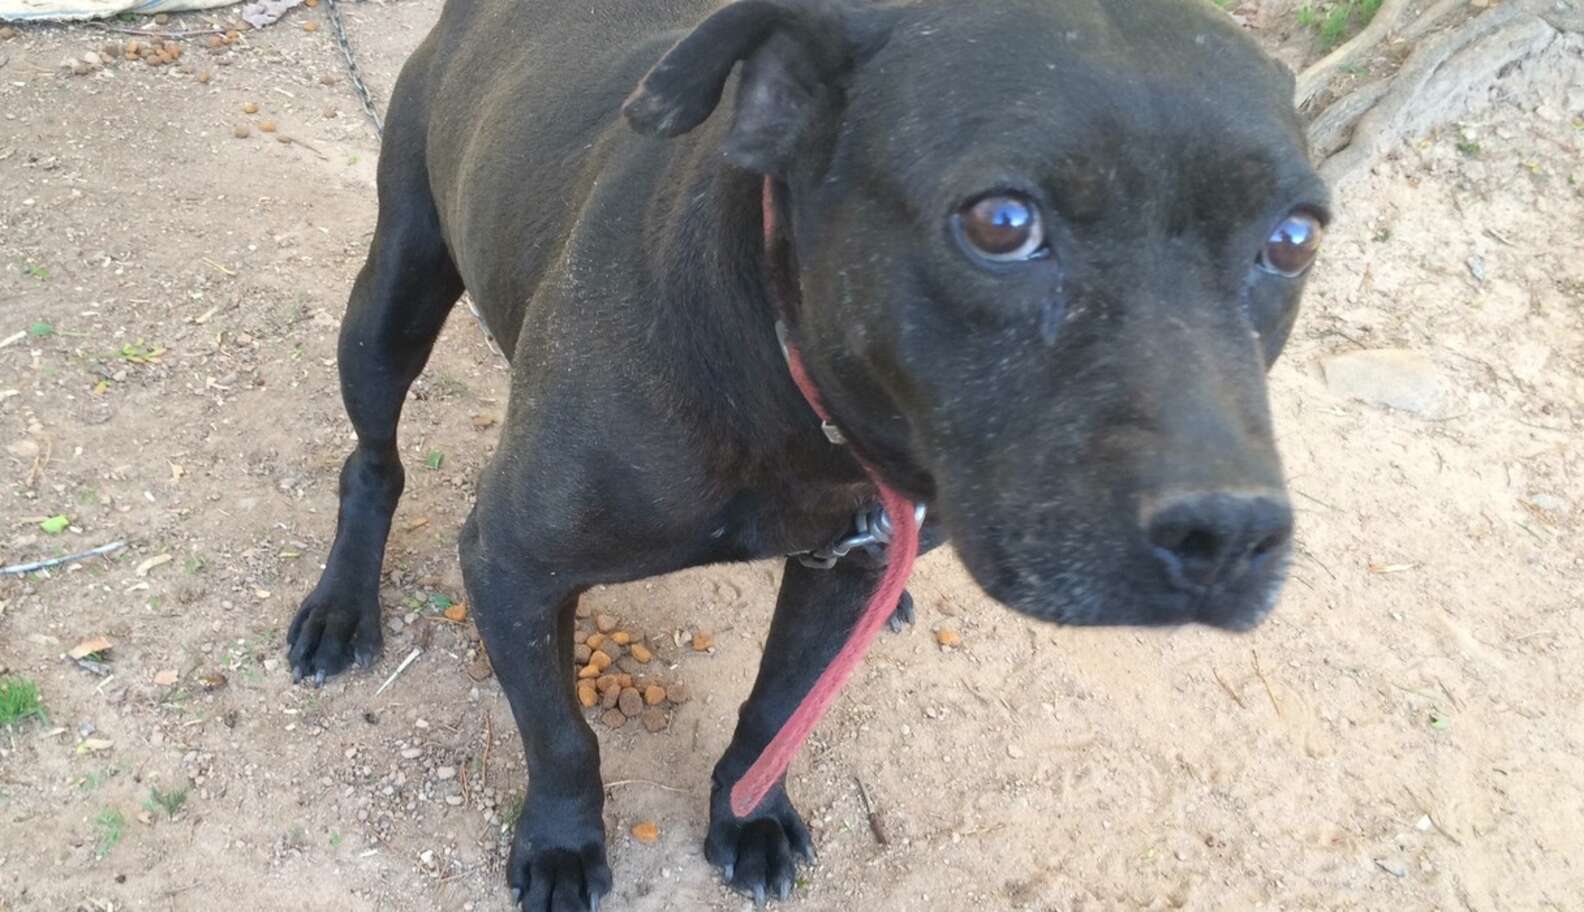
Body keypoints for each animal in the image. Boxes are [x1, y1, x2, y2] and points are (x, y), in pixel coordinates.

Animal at [288, 3, 1324, 905]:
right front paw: (561, 845)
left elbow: (781, 705)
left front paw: (749, 817)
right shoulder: (512, 566)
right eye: (1000, 223)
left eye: (1295, 238)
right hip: (393, 301)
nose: (1229, 535)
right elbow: (562, 735)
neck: (797, 406)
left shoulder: (843, 568)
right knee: (372, 462)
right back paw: (340, 608)